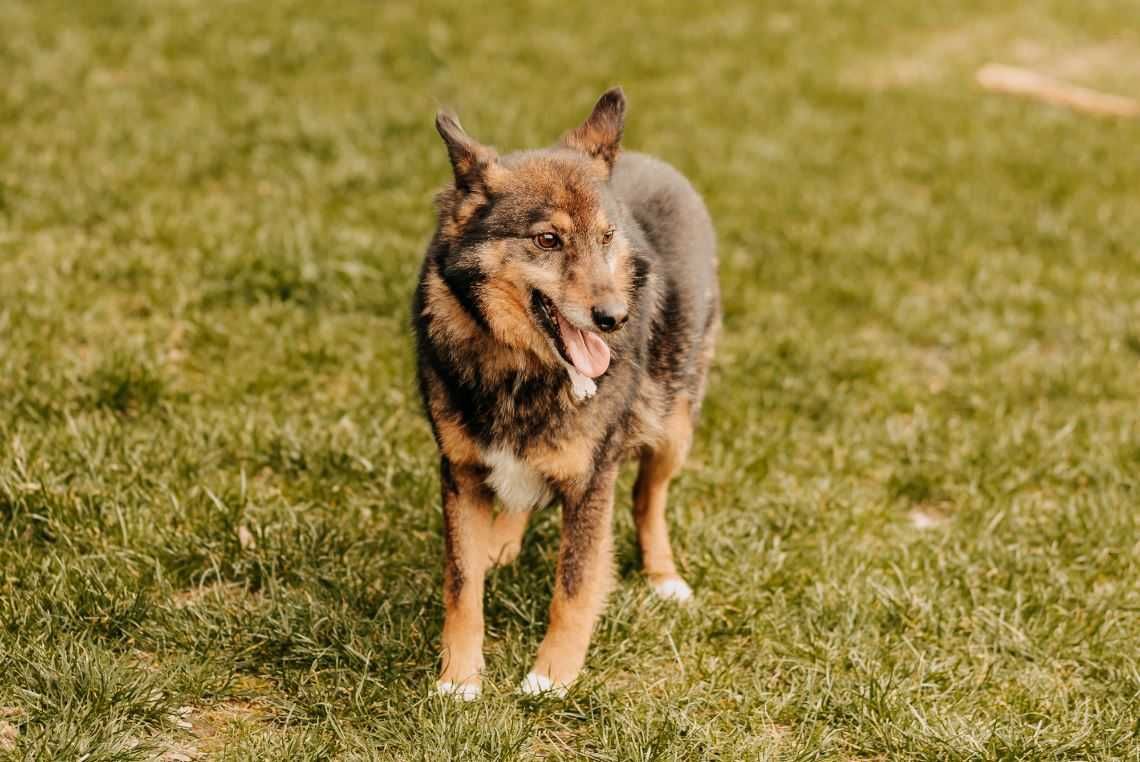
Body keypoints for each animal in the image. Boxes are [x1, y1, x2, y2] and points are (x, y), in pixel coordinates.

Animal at [414, 86, 715, 698]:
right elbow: (461, 583)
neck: (518, 365)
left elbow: (574, 586)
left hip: (674, 423)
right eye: (547, 239)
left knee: (649, 497)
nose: (615, 318)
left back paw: (664, 577)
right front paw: (459, 678)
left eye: (607, 238)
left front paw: (551, 676)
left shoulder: (591, 481)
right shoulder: (459, 472)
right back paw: (502, 544)